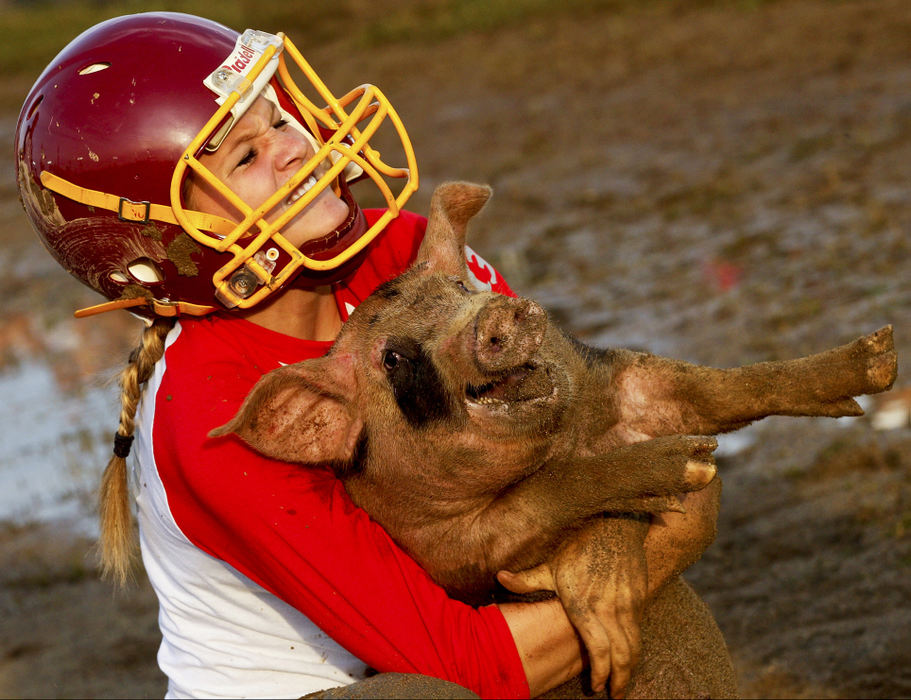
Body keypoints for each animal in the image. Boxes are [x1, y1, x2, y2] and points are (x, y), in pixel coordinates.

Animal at [214, 180, 896, 696]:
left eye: (461, 289)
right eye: (393, 358)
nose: (497, 313)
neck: (552, 447)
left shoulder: (614, 379)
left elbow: (714, 389)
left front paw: (879, 359)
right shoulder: (456, 552)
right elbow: (547, 498)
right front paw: (688, 467)